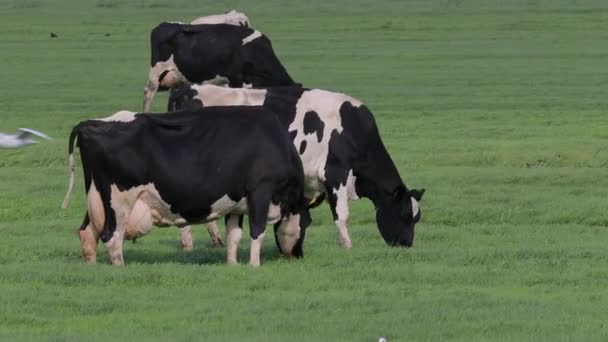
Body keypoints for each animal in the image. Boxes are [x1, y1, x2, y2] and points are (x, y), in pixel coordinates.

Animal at [63, 107, 308, 268]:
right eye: (307, 223)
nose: (298, 256)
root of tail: (93, 123)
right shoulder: (260, 190)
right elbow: (257, 231)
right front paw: (254, 265)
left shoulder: (236, 201)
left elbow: (233, 235)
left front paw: (232, 265)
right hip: (119, 202)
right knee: (112, 237)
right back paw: (120, 267)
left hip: (97, 196)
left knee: (87, 233)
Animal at [166, 83, 426, 248]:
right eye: (405, 214)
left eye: (417, 218)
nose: (406, 244)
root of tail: (185, 89)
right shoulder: (336, 172)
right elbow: (342, 214)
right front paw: (347, 245)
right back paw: (188, 243)